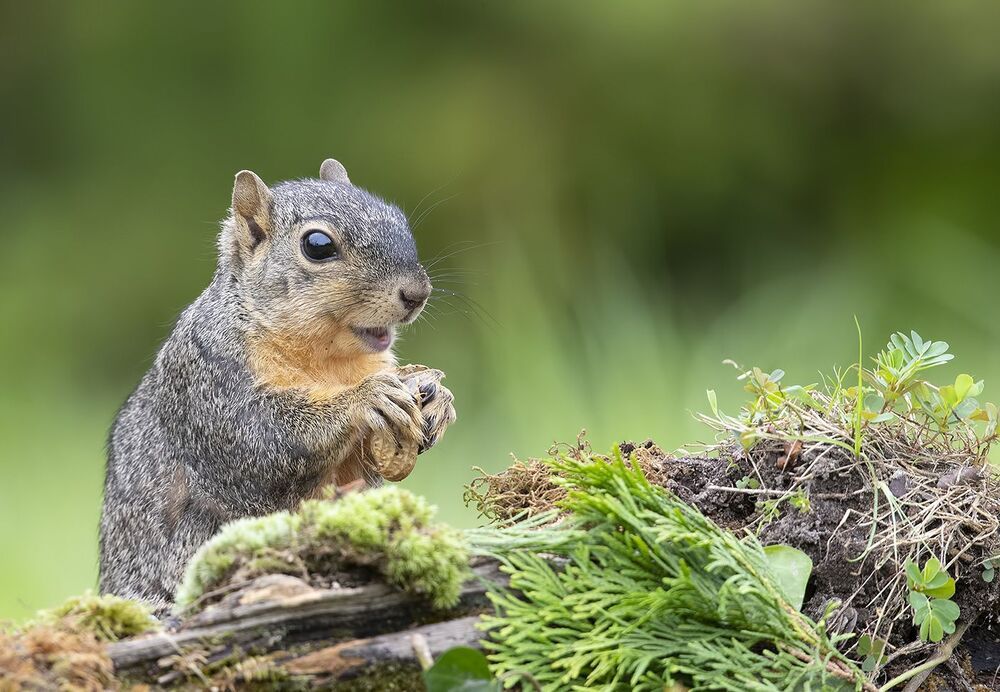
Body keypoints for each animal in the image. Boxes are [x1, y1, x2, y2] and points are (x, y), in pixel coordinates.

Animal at [98, 159, 456, 612]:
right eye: (317, 245)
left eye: (399, 219)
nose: (417, 293)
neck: (328, 361)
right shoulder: (209, 381)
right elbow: (266, 440)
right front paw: (366, 397)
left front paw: (437, 397)